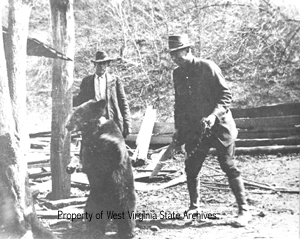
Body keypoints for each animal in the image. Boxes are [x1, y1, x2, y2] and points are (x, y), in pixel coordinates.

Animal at [66, 99, 137, 237]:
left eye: (78, 114)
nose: (67, 126)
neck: (90, 129)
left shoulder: (111, 139)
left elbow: (114, 148)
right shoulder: (85, 144)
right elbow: (80, 157)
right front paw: (71, 166)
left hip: (123, 192)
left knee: (126, 211)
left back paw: (127, 232)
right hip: (94, 199)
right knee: (93, 213)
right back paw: (95, 230)